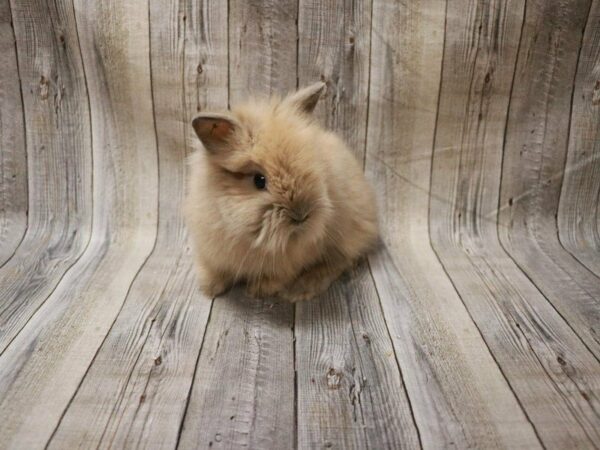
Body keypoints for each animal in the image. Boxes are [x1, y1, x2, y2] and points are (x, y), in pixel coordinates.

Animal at [185, 83, 378, 302]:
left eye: (314, 166)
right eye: (259, 180)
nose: (301, 216)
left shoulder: (293, 261)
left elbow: (279, 276)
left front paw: (258, 291)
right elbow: (213, 270)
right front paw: (209, 288)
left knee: (342, 261)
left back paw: (301, 289)